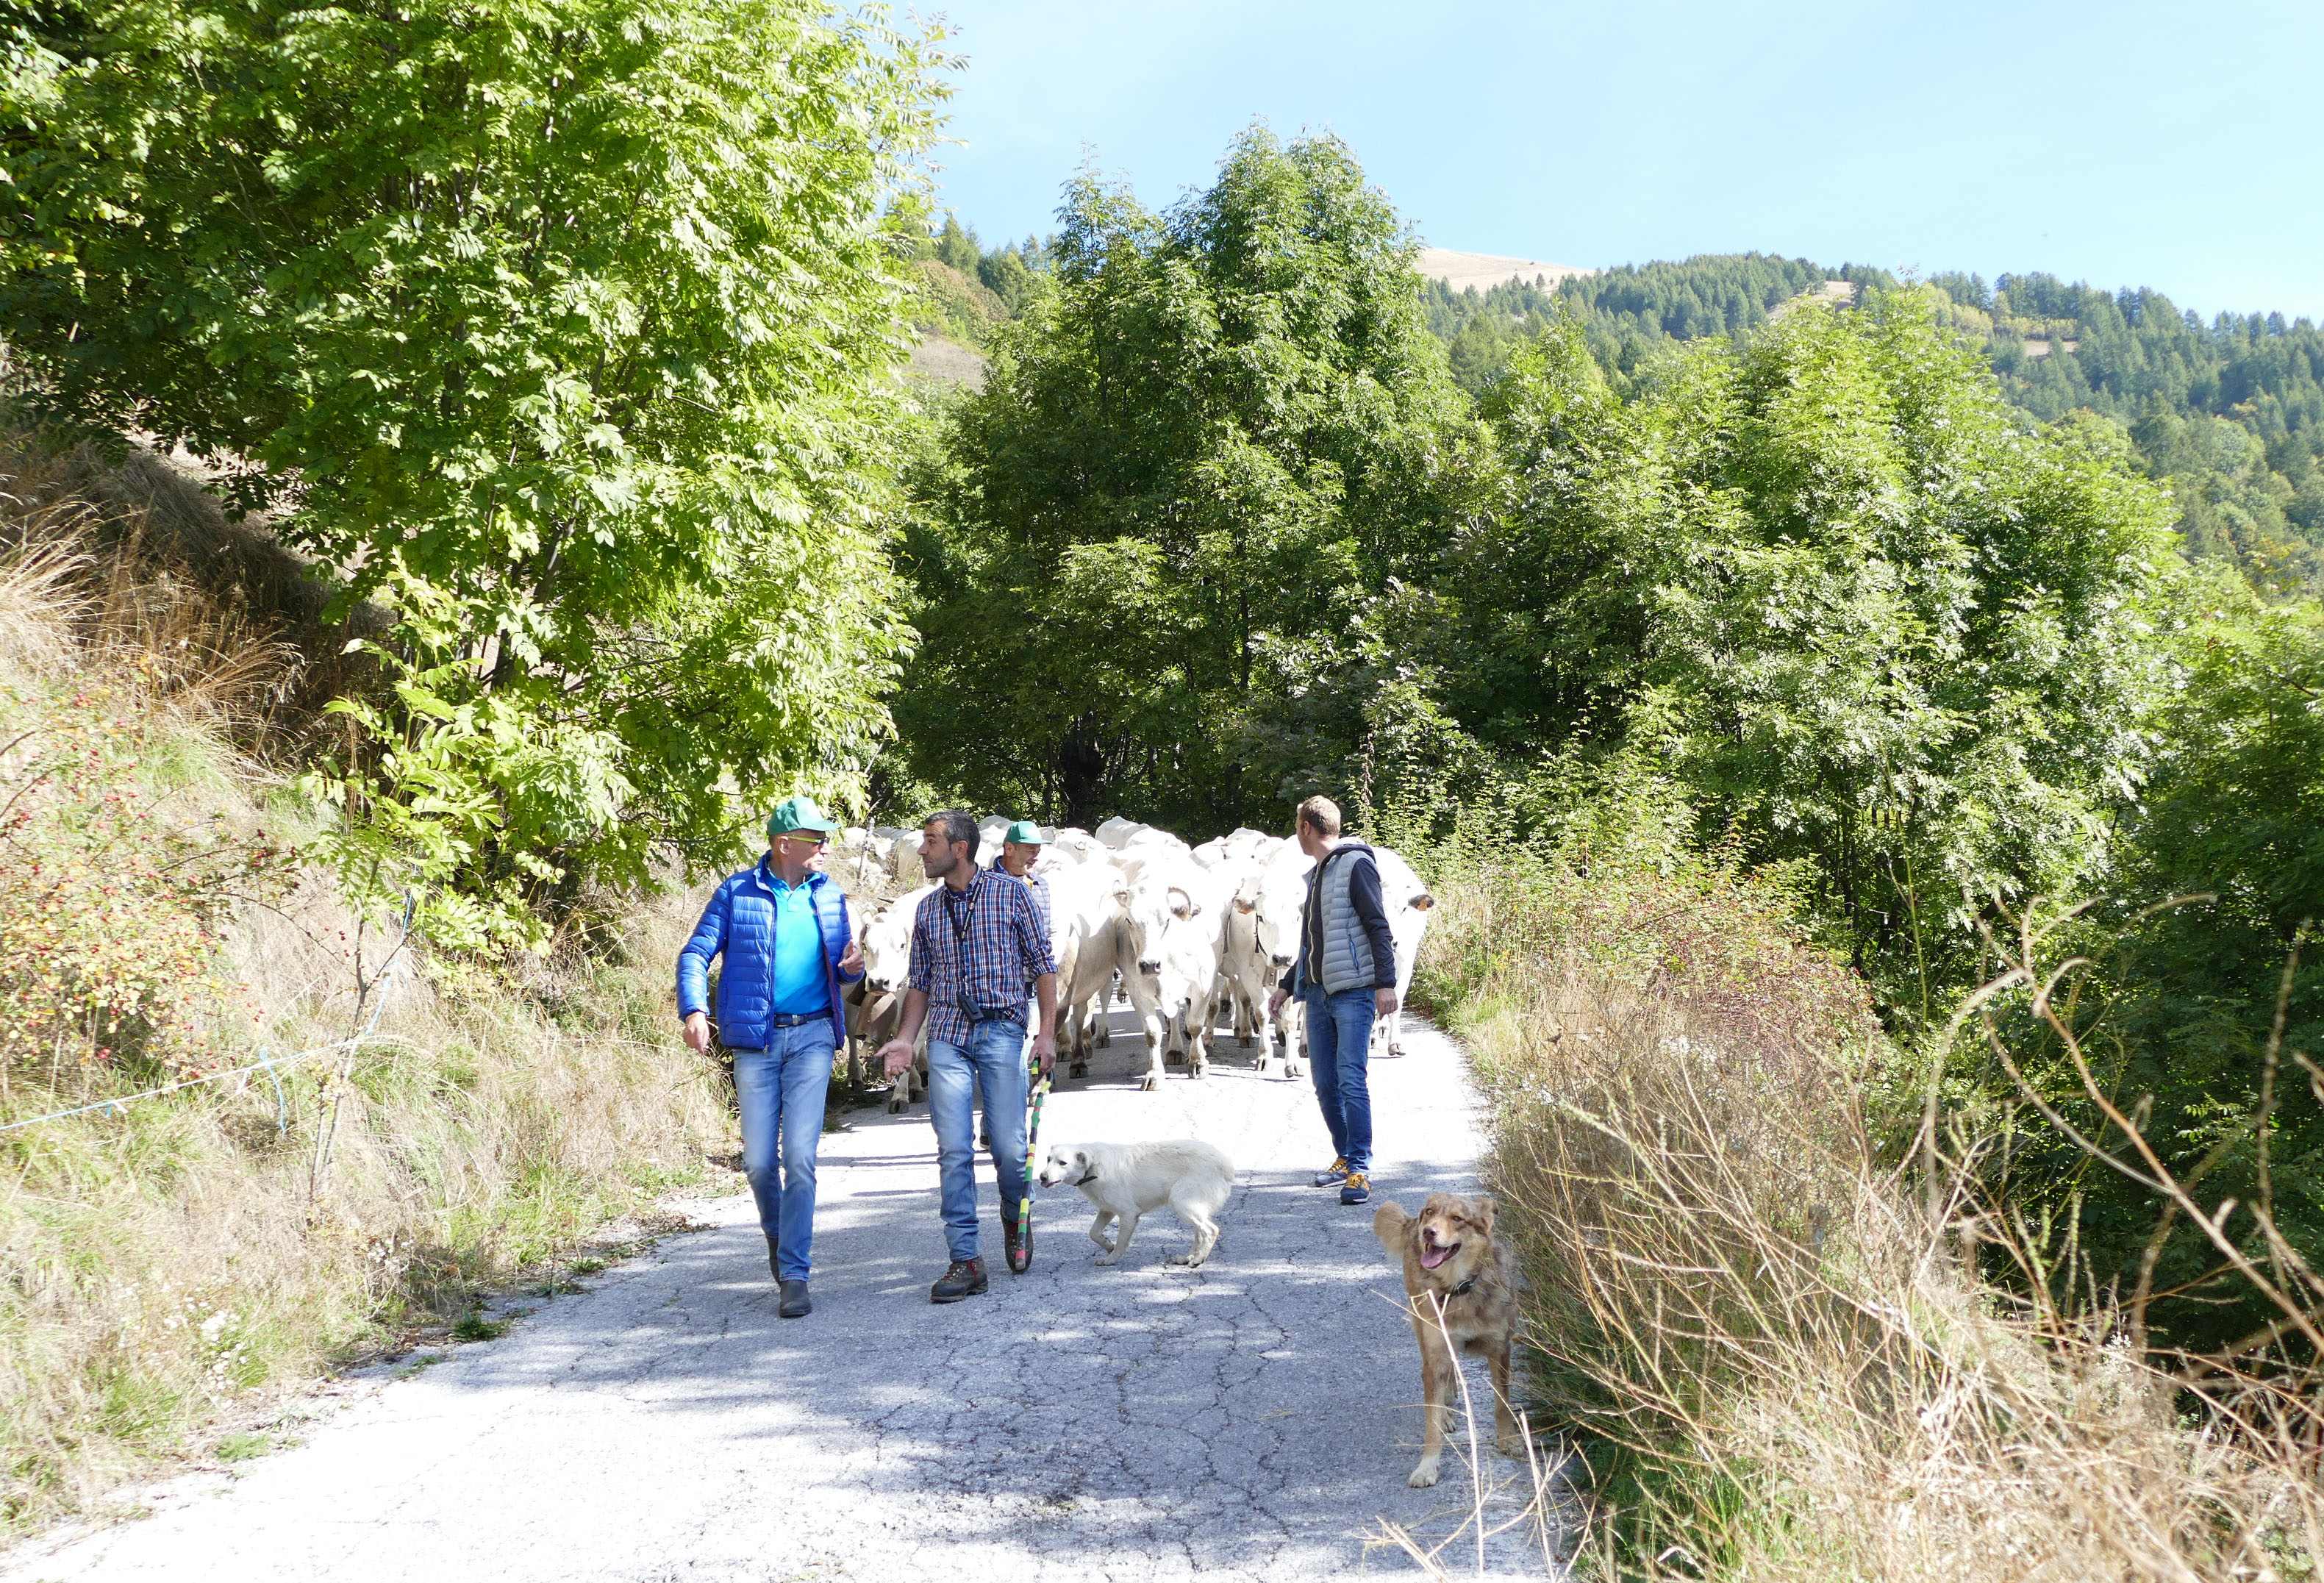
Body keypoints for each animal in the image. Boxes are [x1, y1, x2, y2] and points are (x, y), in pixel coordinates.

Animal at [1036, 1134, 1236, 1273]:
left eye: (1063, 1163)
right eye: (1048, 1159)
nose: (1042, 1177)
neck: (1092, 1167)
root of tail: (1226, 1165)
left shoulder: (1128, 1215)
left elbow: (1121, 1242)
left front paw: (1112, 1259)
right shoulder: (1106, 1210)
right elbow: (1094, 1233)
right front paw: (1108, 1246)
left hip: (1182, 1203)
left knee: (1211, 1231)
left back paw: (1198, 1260)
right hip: (1192, 1207)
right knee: (1200, 1234)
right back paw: (1187, 1258)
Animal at [1366, 1199, 1515, 1478]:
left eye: (1457, 1219)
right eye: (1430, 1212)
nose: (1428, 1232)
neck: (1458, 1286)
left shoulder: (1500, 1348)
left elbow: (1503, 1404)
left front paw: (1510, 1440)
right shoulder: (1435, 1358)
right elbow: (1431, 1421)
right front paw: (1427, 1466)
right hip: (1425, 1333)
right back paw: (1446, 1411)